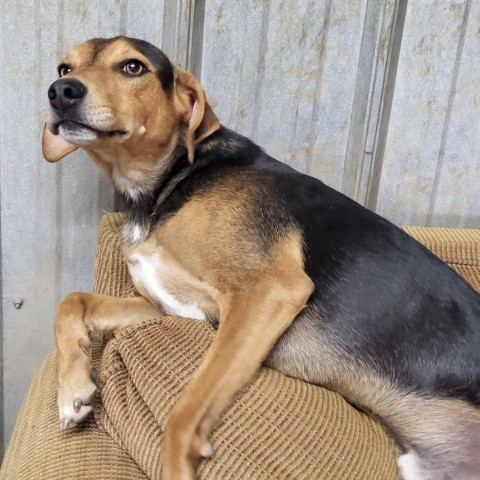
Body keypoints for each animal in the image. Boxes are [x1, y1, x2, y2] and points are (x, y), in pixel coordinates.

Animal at [42, 35, 480, 478]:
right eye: (64, 68)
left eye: (133, 67)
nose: (60, 91)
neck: (167, 185)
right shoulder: (172, 307)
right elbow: (70, 302)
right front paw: (73, 389)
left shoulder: (268, 292)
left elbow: (185, 412)